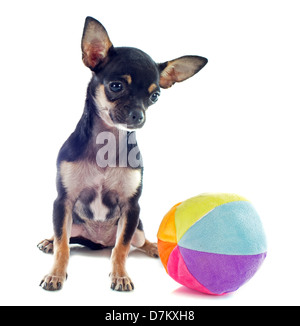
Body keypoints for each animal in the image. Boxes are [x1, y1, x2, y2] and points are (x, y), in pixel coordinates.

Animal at [37, 15, 207, 290]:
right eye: (116, 86)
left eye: (155, 96)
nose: (139, 116)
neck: (106, 143)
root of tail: (99, 242)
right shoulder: (63, 202)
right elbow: (63, 246)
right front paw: (55, 274)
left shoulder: (131, 207)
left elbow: (122, 248)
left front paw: (120, 275)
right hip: (72, 223)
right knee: (62, 236)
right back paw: (48, 241)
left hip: (136, 228)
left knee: (132, 242)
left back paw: (153, 247)